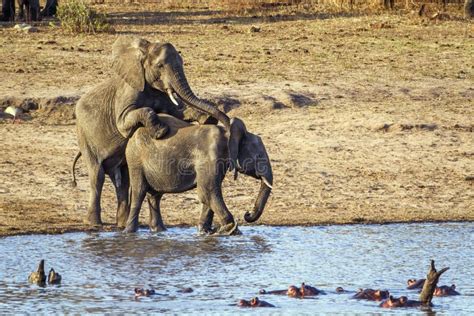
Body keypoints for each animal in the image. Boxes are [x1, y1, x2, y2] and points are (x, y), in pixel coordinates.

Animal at [75, 36, 232, 227]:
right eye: (160, 66)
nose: (227, 125)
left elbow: (177, 111)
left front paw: (206, 119)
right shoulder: (128, 90)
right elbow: (125, 122)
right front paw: (160, 132)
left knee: (123, 180)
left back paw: (122, 225)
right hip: (84, 135)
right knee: (97, 175)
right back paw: (94, 223)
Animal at [122, 115, 272, 233]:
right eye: (259, 156)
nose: (247, 213)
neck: (227, 134)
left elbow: (209, 194)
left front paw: (205, 231)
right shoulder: (209, 157)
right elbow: (208, 192)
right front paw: (231, 230)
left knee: (155, 195)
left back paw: (159, 231)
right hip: (135, 161)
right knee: (139, 192)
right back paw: (129, 232)